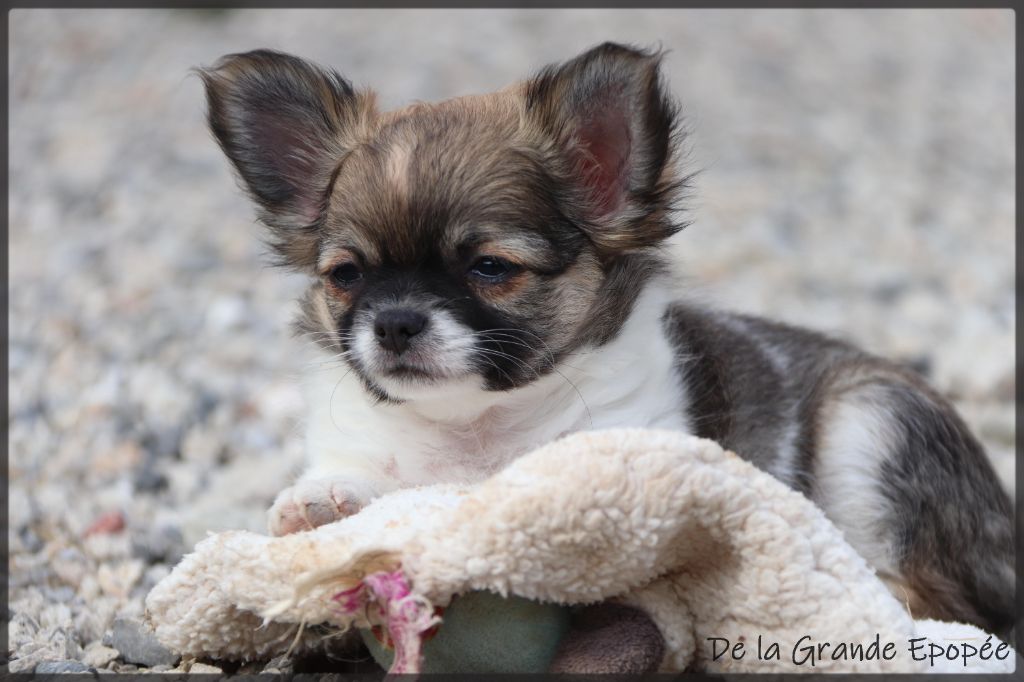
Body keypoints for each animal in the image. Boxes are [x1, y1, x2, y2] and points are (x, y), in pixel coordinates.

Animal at [198, 43, 1014, 637]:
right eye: (346, 276)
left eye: (490, 268)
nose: (394, 321)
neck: (474, 430)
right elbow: (371, 486)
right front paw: (323, 504)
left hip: (874, 421)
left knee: (940, 600)